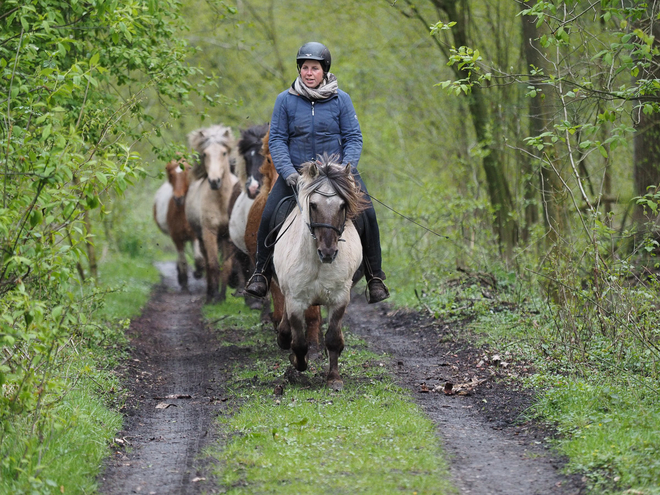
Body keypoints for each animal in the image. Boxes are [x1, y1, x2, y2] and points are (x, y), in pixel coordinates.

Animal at [153, 153, 202, 288]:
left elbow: (197, 256)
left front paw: (199, 271)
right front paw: (184, 279)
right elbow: (183, 259)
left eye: (187, 171)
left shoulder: (194, 235)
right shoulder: (176, 236)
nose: (178, 198)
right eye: (171, 175)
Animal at [184, 125, 238, 302]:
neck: (221, 201)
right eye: (205, 154)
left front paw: (221, 296)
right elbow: (213, 264)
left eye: (224, 153)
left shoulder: (228, 236)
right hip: (201, 237)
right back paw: (209, 293)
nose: (214, 181)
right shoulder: (209, 232)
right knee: (207, 263)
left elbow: (227, 265)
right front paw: (213, 297)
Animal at [272, 158, 366, 392]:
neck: (317, 263)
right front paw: (298, 362)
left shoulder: (340, 298)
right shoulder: (296, 301)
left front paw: (334, 379)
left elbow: (332, 338)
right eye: (313, 205)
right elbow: (299, 342)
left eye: (342, 205)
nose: (328, 252)